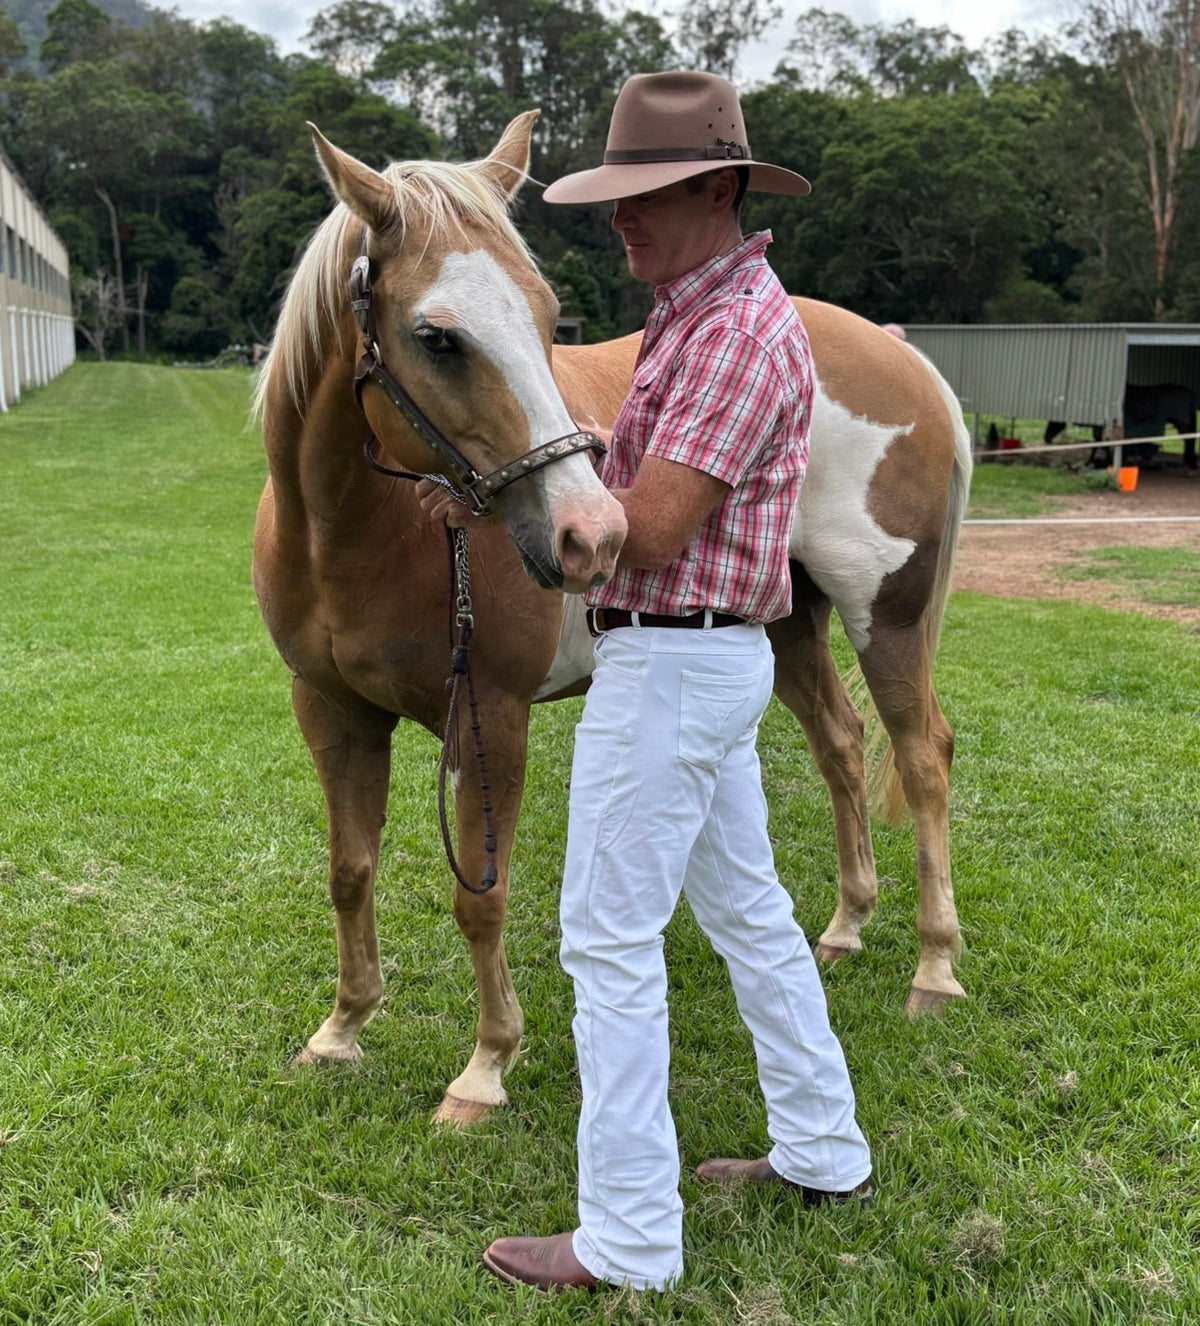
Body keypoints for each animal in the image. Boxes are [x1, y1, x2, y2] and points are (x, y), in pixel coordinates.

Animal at [253, 113, 973, 1125]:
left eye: (547, 317)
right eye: (436, 336)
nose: (587, 536)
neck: (351, 533)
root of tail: (905, 360)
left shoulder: (491, 720)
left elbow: (481, 898)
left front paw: (484, 1069)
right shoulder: (329, 710)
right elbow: (349, 872)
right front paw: (342, 1030)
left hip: (887, 618)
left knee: (921, 757)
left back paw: (935, 968)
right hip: (789, 623)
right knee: (840, 740)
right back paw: (844, 927)